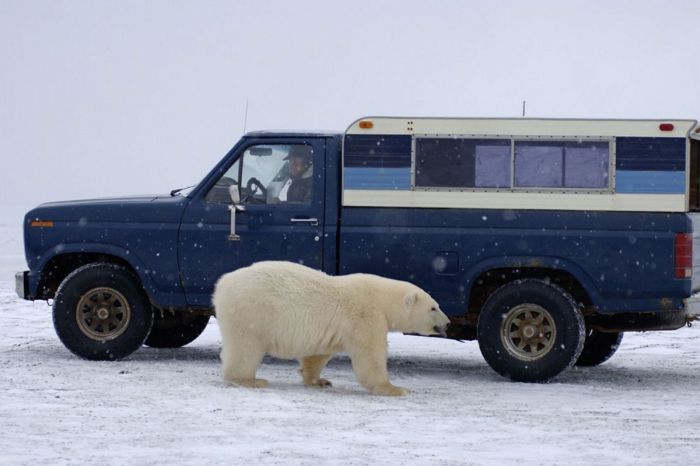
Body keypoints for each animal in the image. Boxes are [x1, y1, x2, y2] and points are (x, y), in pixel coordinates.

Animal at [213, 260, 452, 396]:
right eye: (434, 307)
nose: (448, 323)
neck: (383, 299)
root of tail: (221, 285)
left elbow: (318, 354)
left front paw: (318, 380)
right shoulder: (366, 316)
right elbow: (370, 357)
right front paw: (395, 388)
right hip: (253, 313)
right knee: (246, 347)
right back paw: (250, 379)